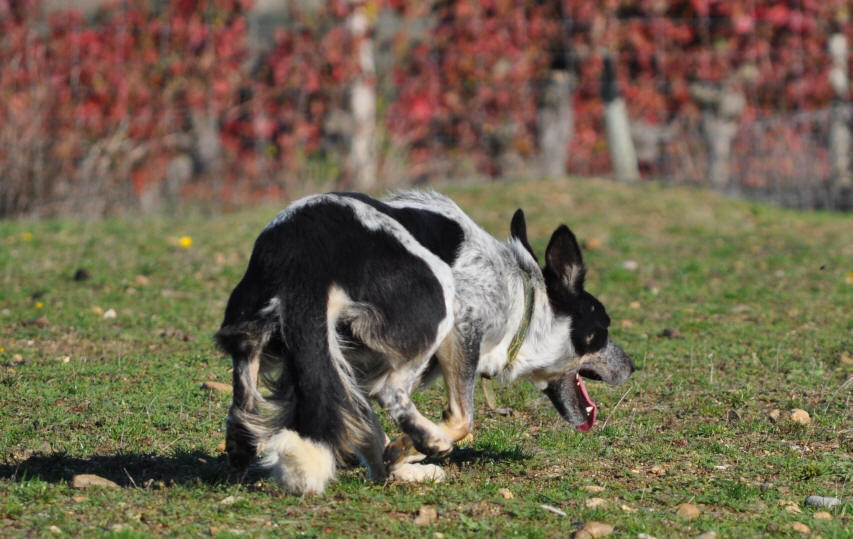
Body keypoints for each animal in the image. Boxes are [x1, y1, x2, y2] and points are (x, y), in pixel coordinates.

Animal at [216, 189, 636, 494]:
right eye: (601, 331)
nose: (633, 366)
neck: (524, 297)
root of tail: (307, 254)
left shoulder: (352, 372)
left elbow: (368, 430)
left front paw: (399, 464)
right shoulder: (465, 328)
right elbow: (461, 419)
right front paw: (414, 448)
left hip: (257, 321)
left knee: (245, 376)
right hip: (437, 298)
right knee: (393, 393)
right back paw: (428, 440)